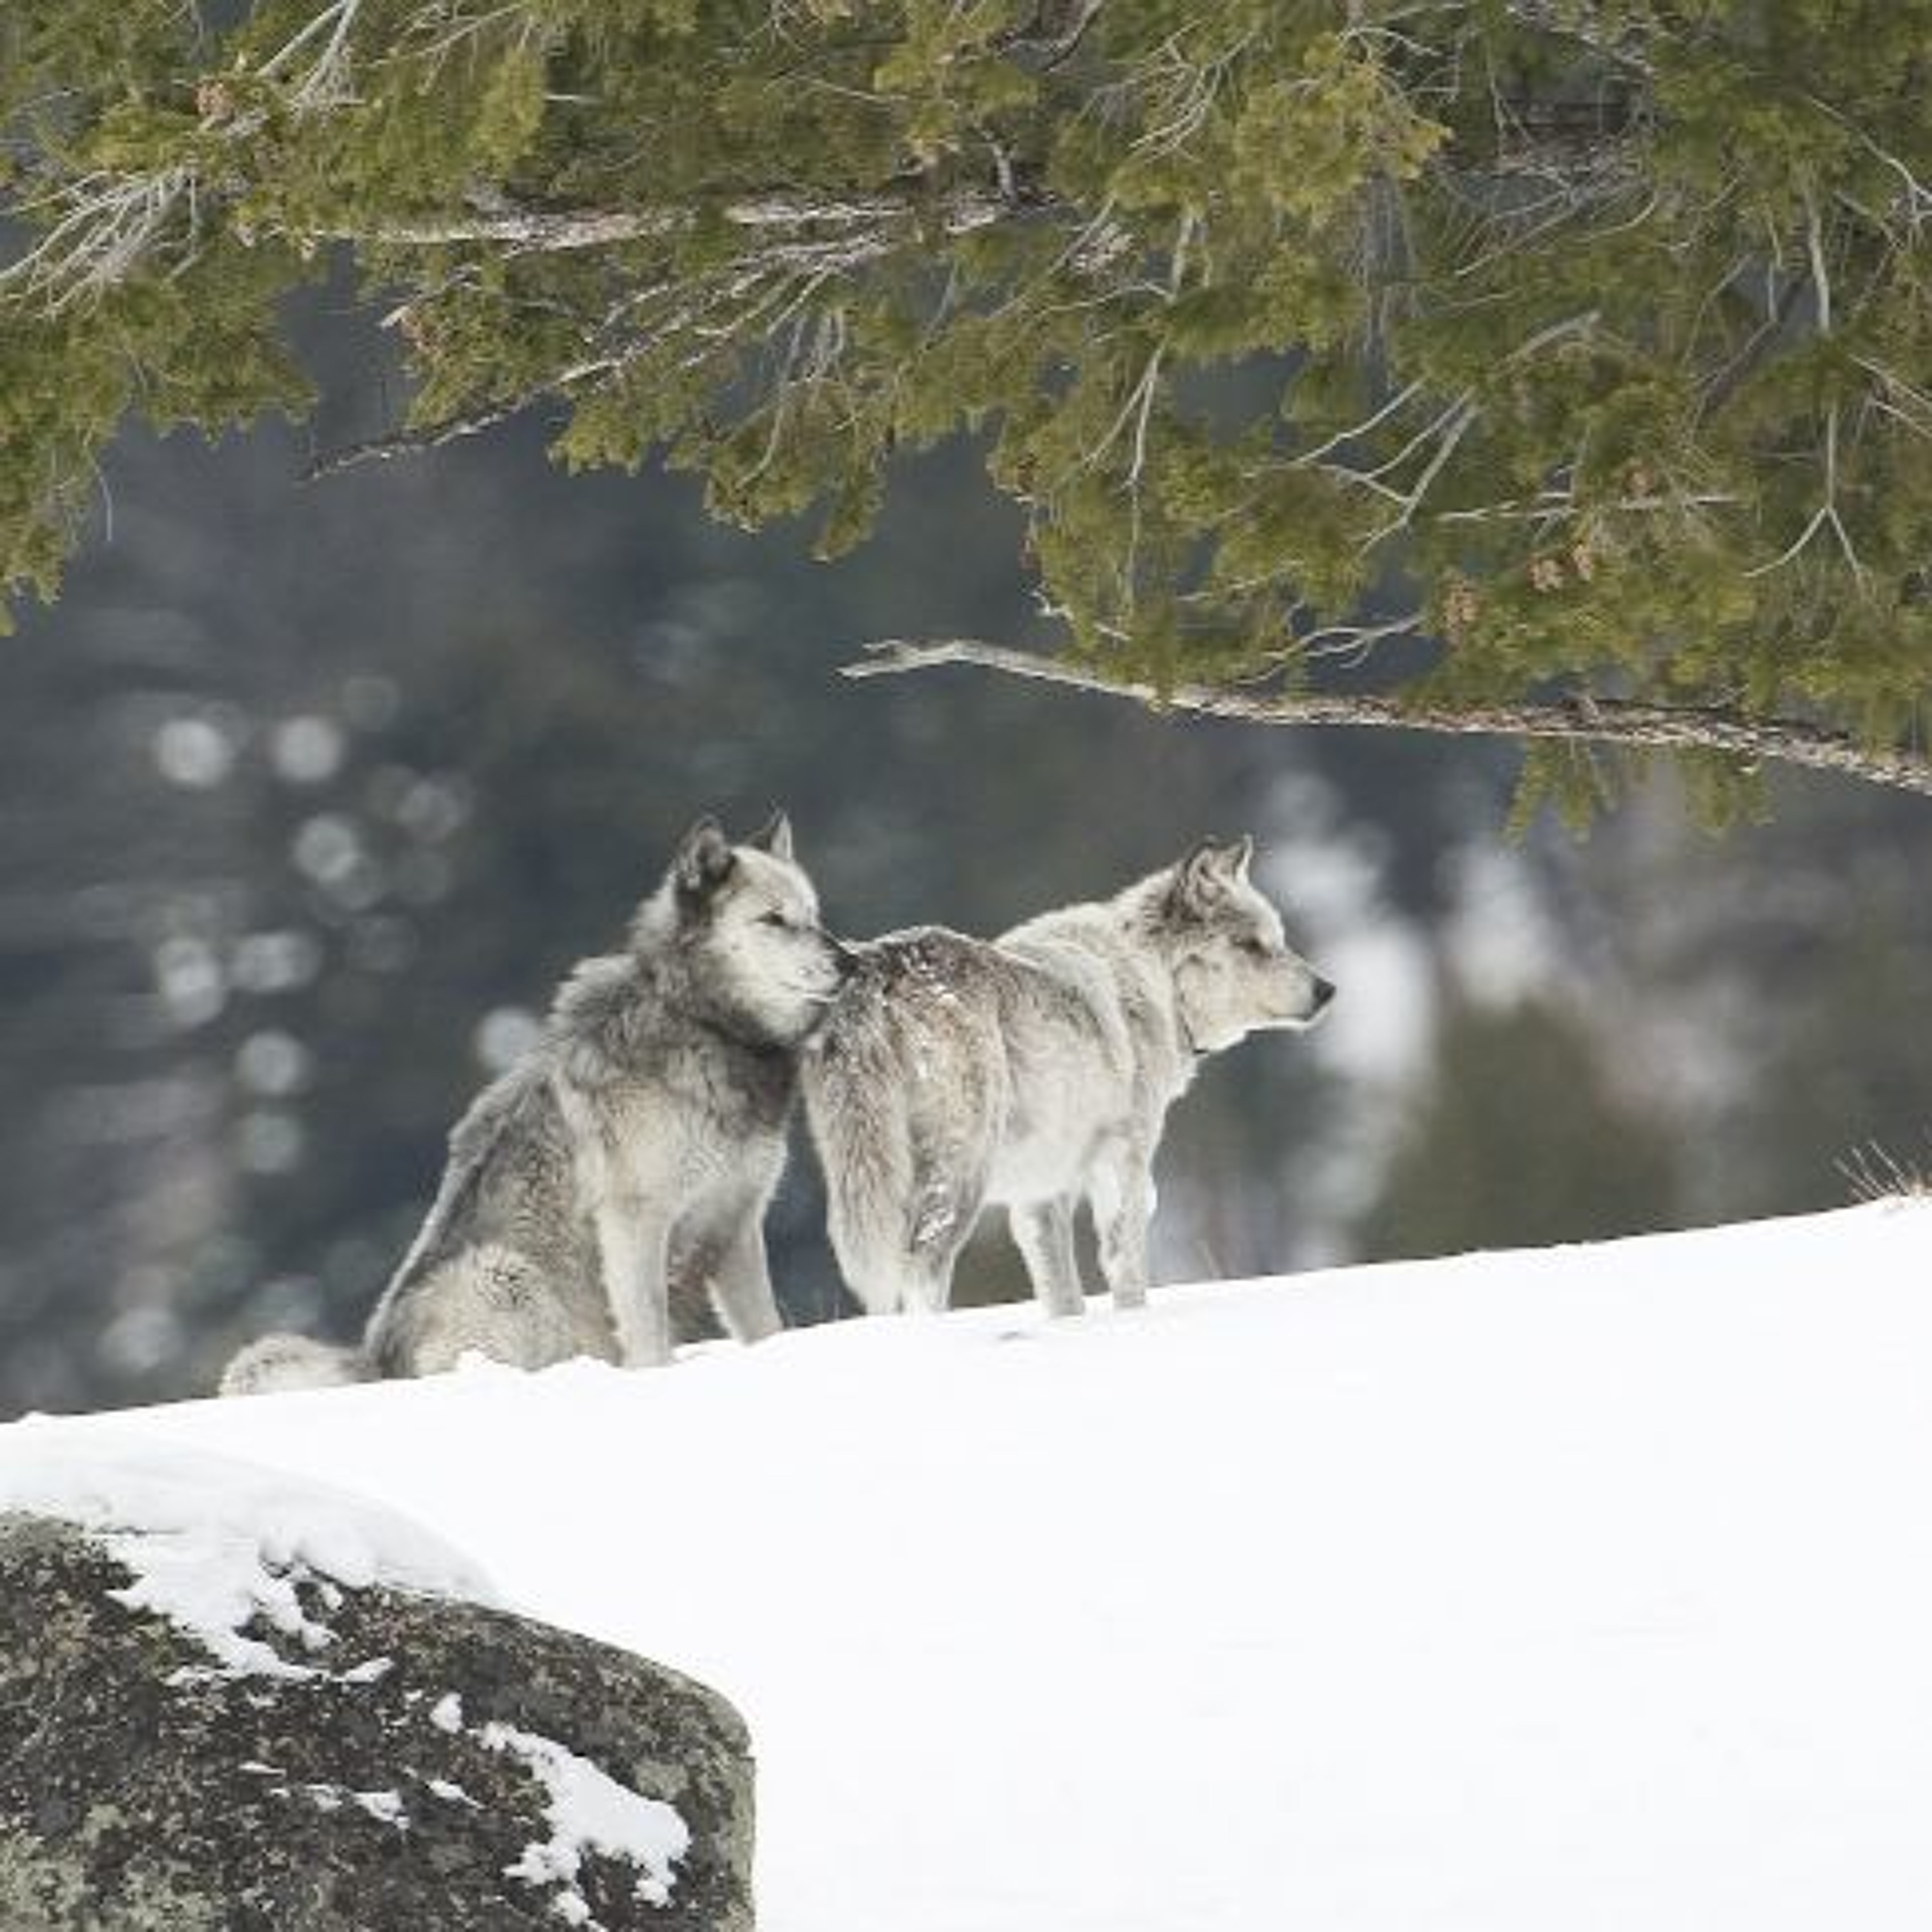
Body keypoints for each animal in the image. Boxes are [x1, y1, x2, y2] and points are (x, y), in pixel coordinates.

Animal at [221, 814, 849, 1394]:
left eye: (814, 916)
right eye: (774, 919)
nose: (849, 963)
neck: (702, 1024)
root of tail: (373, 1365)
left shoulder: (734, 1224)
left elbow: (765, 1327)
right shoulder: (635, 1221)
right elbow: (649, 1334)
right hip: (506, 1274)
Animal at [803, 836, 1332, 1320]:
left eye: (1279, 939)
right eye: (1252, 945)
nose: (1328, 990)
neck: (1153, 979)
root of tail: (874, 970)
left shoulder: (1042, 1196)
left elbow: (1063, 1296)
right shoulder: (1123, 1163)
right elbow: (1125, 1268)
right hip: (960, 1175)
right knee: (922, 1268)